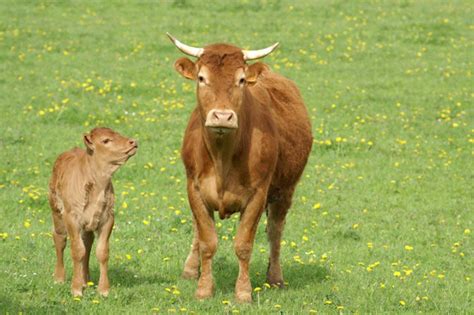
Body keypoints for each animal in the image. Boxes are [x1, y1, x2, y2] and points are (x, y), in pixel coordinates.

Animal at [48, 127, 137, 298]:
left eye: (119, 134)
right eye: (106, 140)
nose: (133, 142)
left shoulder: (107, 218)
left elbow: (102, 252)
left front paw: (103, 290)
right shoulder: (72, 218)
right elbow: (77, 250)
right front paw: (76, 289)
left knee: (87, 243)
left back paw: (85, 280)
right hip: (56, 211)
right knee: (60, 239)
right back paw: (59, 278)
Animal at [168, 34, 312, 304]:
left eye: (241, 80)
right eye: (201, 78)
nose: (222, 117)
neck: (222, 158)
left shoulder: (258, 195)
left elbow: (244, 245)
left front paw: (243, 293)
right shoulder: (194, 189)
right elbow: (206, 240)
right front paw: (203, 289)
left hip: (286, 190)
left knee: (275, 231)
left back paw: (275, 278)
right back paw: (190, 269)